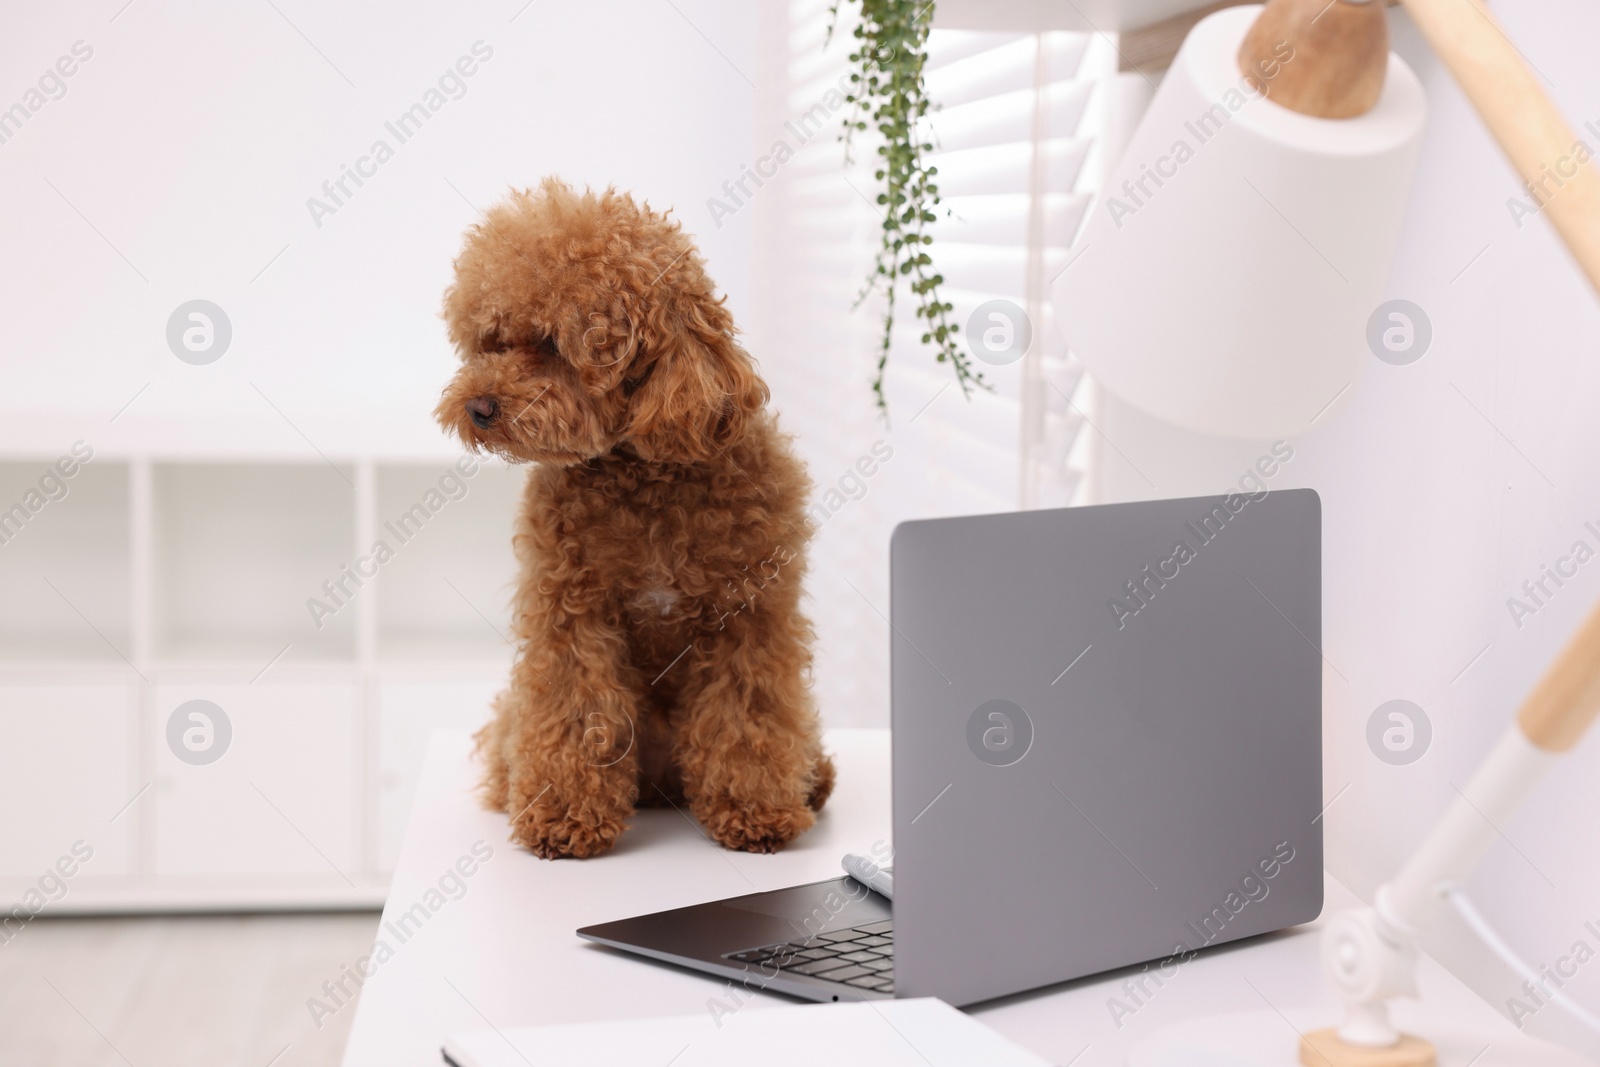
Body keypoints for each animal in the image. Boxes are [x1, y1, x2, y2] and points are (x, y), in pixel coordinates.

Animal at [438, 175, 838, 857]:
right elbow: (573, 710)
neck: (646, 477)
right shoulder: (569, 613)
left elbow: (747, 716)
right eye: (493, 341)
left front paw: (755, 812)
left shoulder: (750, 617)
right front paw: (564, 818)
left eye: (551, 345)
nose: (478, 407)